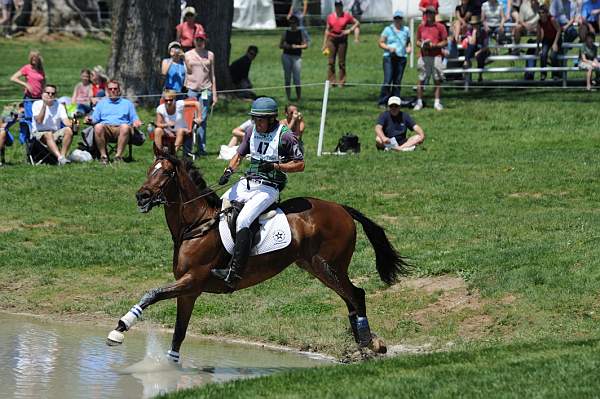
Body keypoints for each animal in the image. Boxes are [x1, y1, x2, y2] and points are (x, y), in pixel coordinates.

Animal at [105, 149, 410, 362]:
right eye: (149, 170)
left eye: (165, 174)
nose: (142, 197)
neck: (196, 226)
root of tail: (341, 208)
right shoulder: (189, 292)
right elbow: (178, 334)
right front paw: (171, 368)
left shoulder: (192, 280)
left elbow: (152, 293)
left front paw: (119, 329)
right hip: (316, 267)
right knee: (350, 299)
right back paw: (366, 344)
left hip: (327, 266)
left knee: (356, 294)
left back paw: (368, 343)